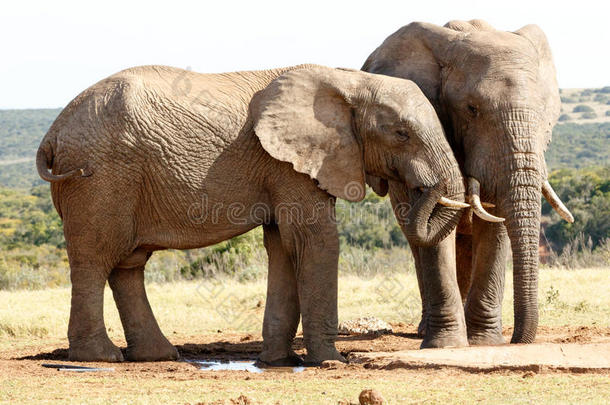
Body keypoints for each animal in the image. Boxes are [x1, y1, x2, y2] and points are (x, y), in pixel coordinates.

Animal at [35, 62, 468, 362]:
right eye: (401, 134)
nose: (428, 190)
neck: (347, 82)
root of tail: (52, 133)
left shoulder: (282, 167)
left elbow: (282, 245)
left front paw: (278, 361)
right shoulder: (289, 164)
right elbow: (315, 240)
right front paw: (331, 361)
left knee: (128, 265)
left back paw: (158, 356)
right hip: (98, 178)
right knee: (94, 259)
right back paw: (101, 357)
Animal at [364, 19, 572, 348]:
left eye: (543, 113)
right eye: (472, 109)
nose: (517, 340)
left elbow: (495, 226)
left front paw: (485, 342)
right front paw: (447, 344)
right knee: (418, 242)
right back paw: (425, 329)